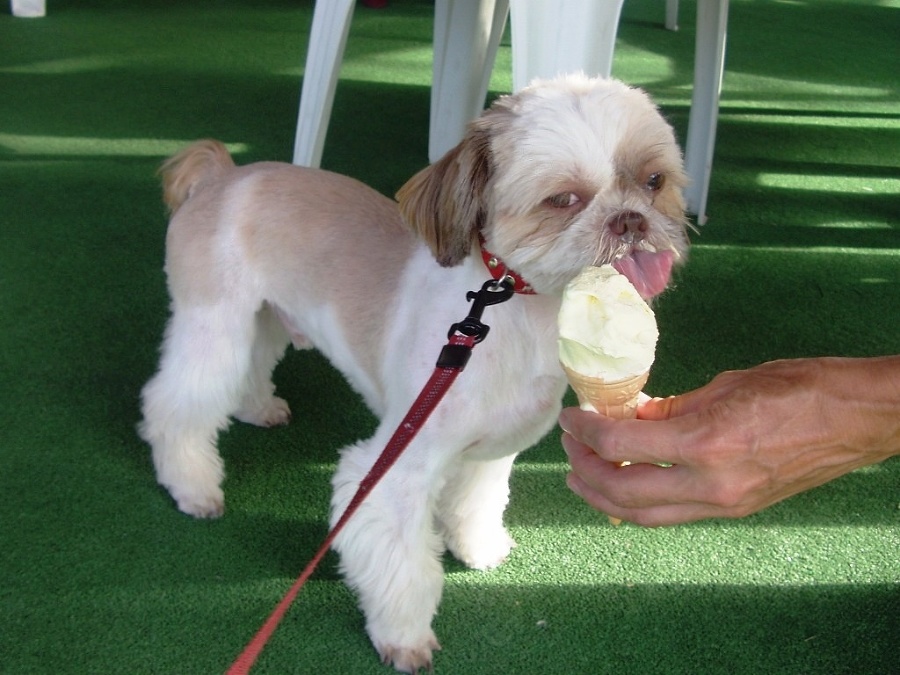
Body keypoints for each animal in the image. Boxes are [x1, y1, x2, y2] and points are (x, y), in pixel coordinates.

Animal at [141, 75, 688, 675]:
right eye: (563, 199)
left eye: (655, 181)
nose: (632, 220)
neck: (507, 319)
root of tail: (224, 174)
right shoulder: (396, 467)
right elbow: (402, 563)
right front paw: (404, 636)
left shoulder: (491, 450)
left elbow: (477, 502)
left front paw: (478, 548)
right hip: (214, 323)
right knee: (175, 403)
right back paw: (192, 485)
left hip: (262, 319)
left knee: (247, 369)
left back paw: (258, 407)